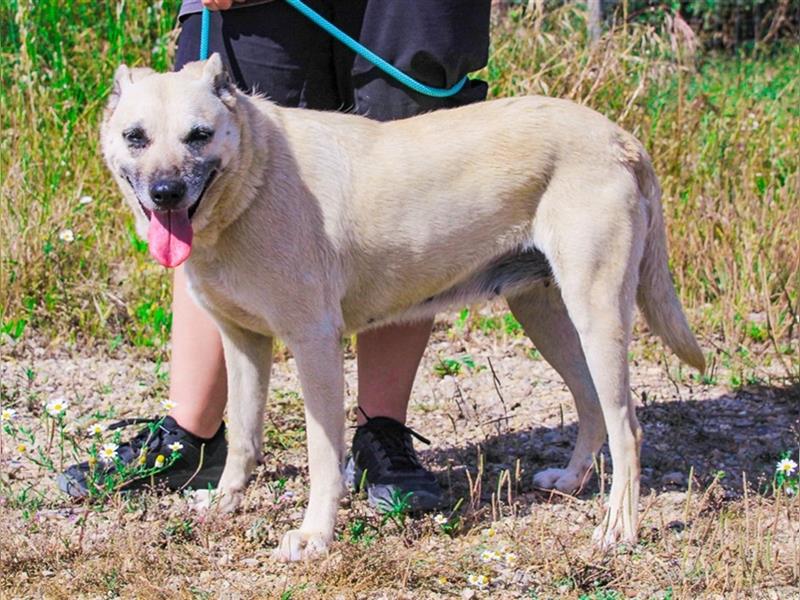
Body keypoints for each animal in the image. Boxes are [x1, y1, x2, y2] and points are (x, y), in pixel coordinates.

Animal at [101, 54, 708, 560]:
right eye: (136, 137)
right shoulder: (244, 343)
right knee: (592, 406)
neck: (256, 175)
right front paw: (227, 502)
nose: (165, 193)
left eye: (198, 135)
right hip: (546, 317)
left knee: (627, 428)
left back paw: (618, 529)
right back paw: (572, 482)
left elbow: (323, 458)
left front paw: (315, 536)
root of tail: (618, 136)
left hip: (597, 316)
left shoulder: (315, 344)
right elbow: (244, 440)